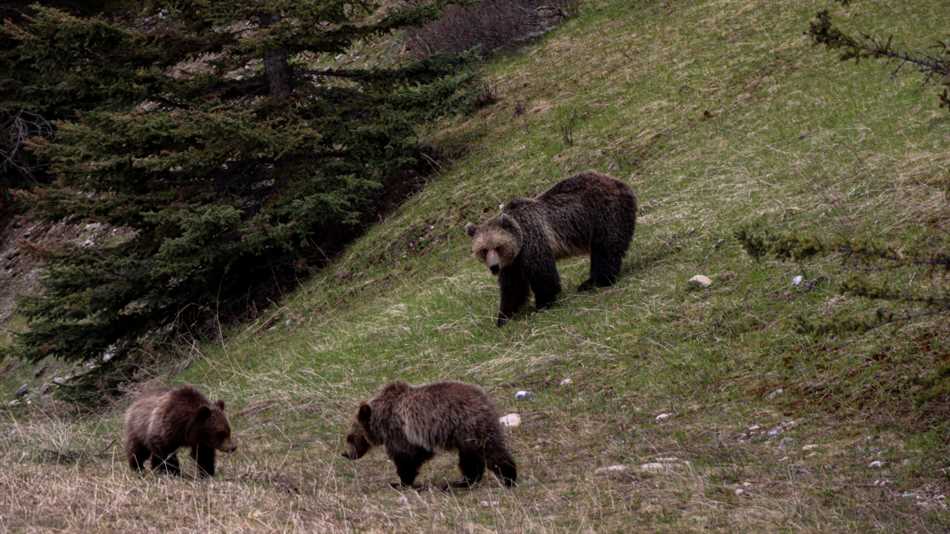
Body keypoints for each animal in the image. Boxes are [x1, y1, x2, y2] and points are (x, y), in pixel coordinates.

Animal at [344, 384, 520, 492]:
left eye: (350, 438)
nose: (345, 454)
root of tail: (485, 401)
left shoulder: (400, 432)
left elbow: (406, 458)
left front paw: (400, 483)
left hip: (469, 428)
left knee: (487, 453)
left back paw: (508, 478)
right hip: (469, 434)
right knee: (473, 457)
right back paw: (463, 482)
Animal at [466, 172, 640, 326]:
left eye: (498, 246)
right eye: (483, 250)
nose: (494, 267)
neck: (520, 239)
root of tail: (620, 183)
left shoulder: (534, 241)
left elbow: (543, 275)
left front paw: (543, 304)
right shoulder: (512, 262)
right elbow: (513, 287)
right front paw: (503, 317)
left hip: (603, 214)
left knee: (605, 249)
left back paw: (594, 282)